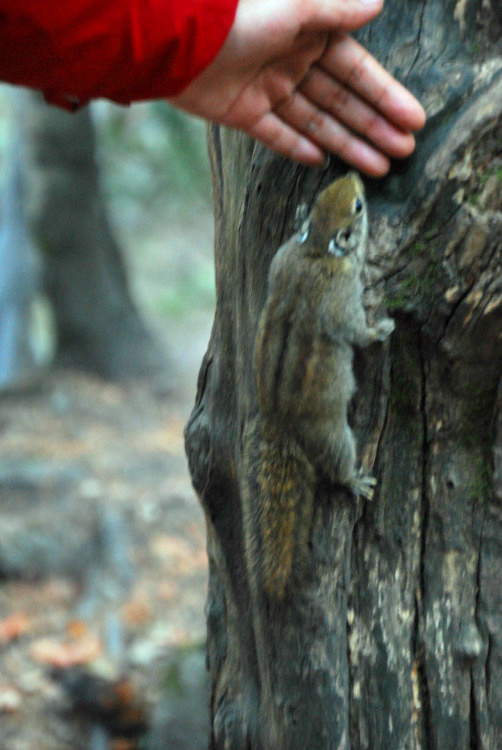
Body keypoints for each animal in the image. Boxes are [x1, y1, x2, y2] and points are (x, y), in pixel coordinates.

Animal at [244, 173, 396, 604]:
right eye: (358, 207)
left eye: (326, 193)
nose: (354, 176)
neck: (316, 251)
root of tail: (278, 424)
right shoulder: (345, 297)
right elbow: (357, 331)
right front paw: (381, 330)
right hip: (334, 436)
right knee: (337, 464)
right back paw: (356, 481)